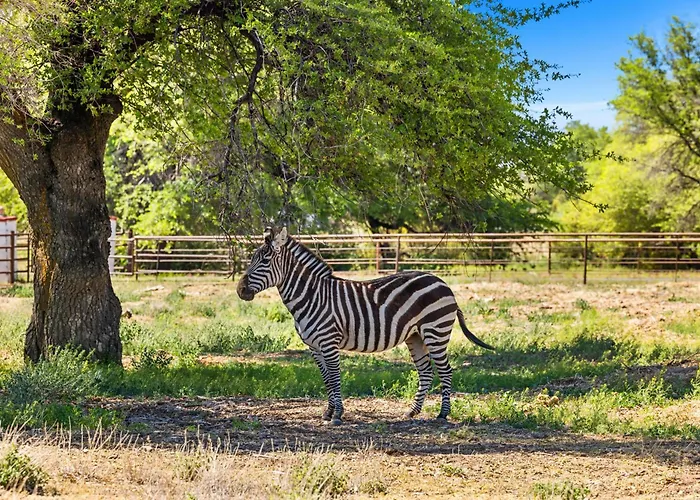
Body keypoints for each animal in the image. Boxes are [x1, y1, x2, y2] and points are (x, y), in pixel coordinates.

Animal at [236, 227, 494, 425]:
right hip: (416, 336)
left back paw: (442, 415)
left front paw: (337, 415)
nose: (240, 290)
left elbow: (335, 376)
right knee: (426, 371)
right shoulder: (314, 347)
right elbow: (326, 379)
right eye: (252, 259)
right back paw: (412, 412)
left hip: (435, 332)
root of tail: (442, 282)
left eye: (265, 260)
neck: (312, 296)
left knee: (445, 370)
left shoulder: (329, 342)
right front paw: (328, 412)